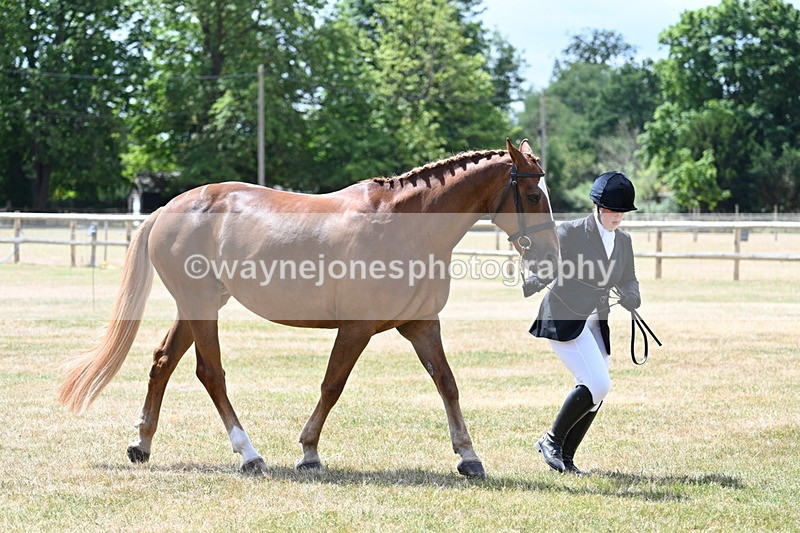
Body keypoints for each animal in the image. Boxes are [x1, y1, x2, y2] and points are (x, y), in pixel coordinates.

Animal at [59, 138, 559, 479]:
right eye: (533, 196)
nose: (551, 258)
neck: (406, 225)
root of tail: (167, 208)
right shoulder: (356, 328)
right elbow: (332, 385)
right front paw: (309, 452)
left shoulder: (421, 325)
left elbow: (448, 385)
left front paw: (469, 457)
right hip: (201, 307)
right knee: (210, 373)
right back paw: (249, 454)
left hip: (196, 305)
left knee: (163, 362)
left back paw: (142, 444)